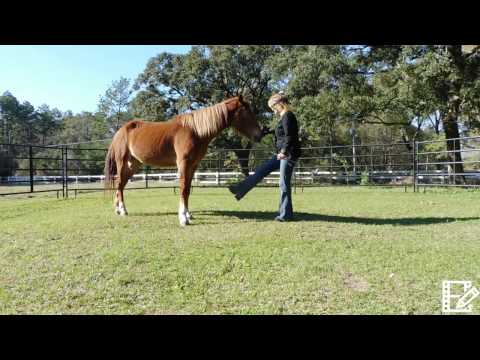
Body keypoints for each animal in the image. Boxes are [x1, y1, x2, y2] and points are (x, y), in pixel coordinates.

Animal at [104, 95, 262, 225]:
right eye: (246, 112)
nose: (259, 134)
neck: (196, 131)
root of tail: (120, 131)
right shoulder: (184, 164)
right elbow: (183, 188)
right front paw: (183, 218)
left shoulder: (193, 165)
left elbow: (187, 190)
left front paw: (188, 214)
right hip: (122, 162)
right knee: (119, 184)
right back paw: (122, 210)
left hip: (134, 165)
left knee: (120, 185)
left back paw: (118, 209)